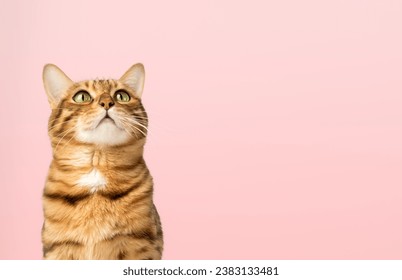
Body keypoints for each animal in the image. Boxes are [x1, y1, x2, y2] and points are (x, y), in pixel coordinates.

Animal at [39, 63, 162, 260]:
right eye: (82, 96)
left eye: (122, 95)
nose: (107, 103)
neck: (96, 167)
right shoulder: (59, 248)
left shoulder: (140, 245)